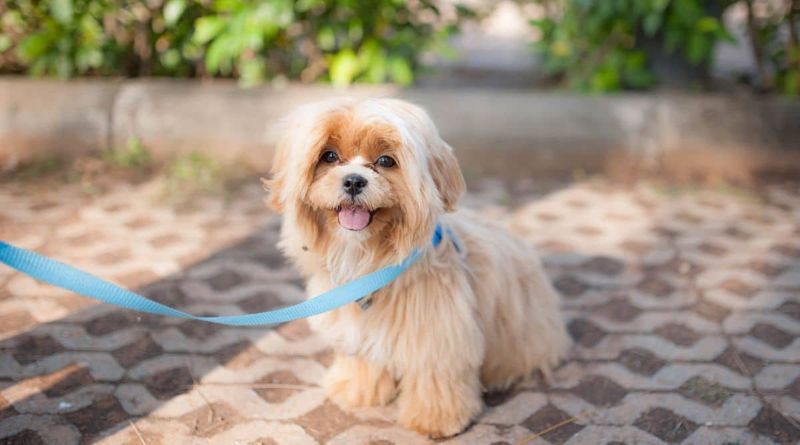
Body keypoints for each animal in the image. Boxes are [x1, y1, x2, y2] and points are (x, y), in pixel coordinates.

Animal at [266, 98, 572, 438]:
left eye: (386, 161)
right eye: (329, 156)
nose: (354, 180)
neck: (370, 261)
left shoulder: (439, 333)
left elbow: (435, 374)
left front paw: (435, 418)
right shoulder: (355, 328)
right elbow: (362, 357)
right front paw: (357, 388)